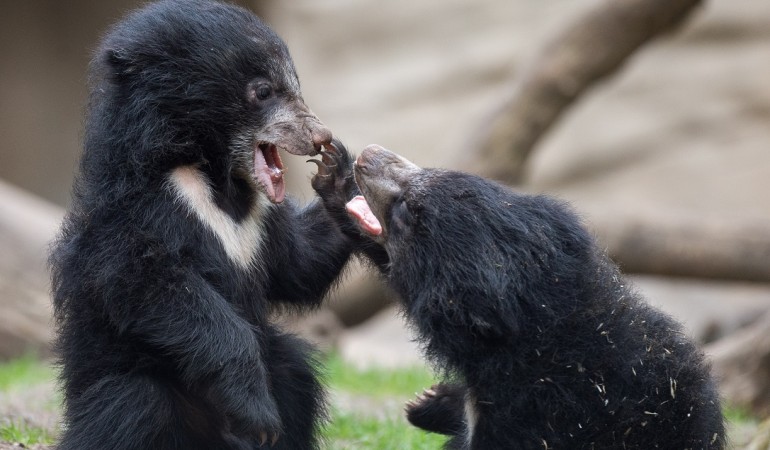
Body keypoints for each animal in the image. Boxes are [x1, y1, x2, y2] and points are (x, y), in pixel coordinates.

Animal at [49, 1, 360, 449]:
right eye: (263, 91)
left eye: (294, 84)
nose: (321, 136)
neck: (216, 176)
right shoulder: (136, 213)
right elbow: (158, 288)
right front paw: (258, 417)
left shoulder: (262, 220)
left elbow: (298, 265)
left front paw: (338, 176)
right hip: (117, 382)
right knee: (133, 404)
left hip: (279, 366)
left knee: (295, 374)